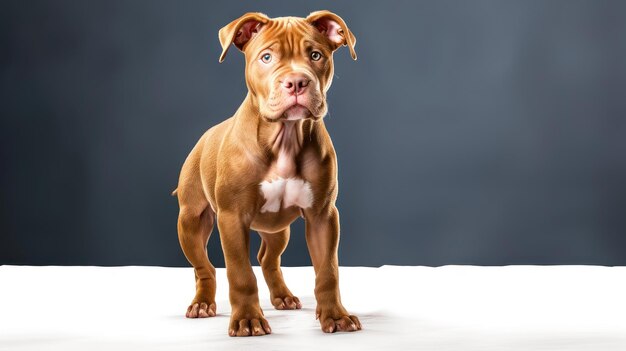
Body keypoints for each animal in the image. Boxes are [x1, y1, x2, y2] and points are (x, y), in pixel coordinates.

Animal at [172, 9, 360, 336]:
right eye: (267, 57)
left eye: (316, 55)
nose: (296, 82)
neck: (285, 137)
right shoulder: (232, 218)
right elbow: (240, 273)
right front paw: (248, 319)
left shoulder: (323, 215)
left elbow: (328, 271)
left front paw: (335, 316)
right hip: (191, 220)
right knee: (204, 267)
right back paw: (202, 303)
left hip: (276, 229)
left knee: (268, 258)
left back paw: (282, 296)